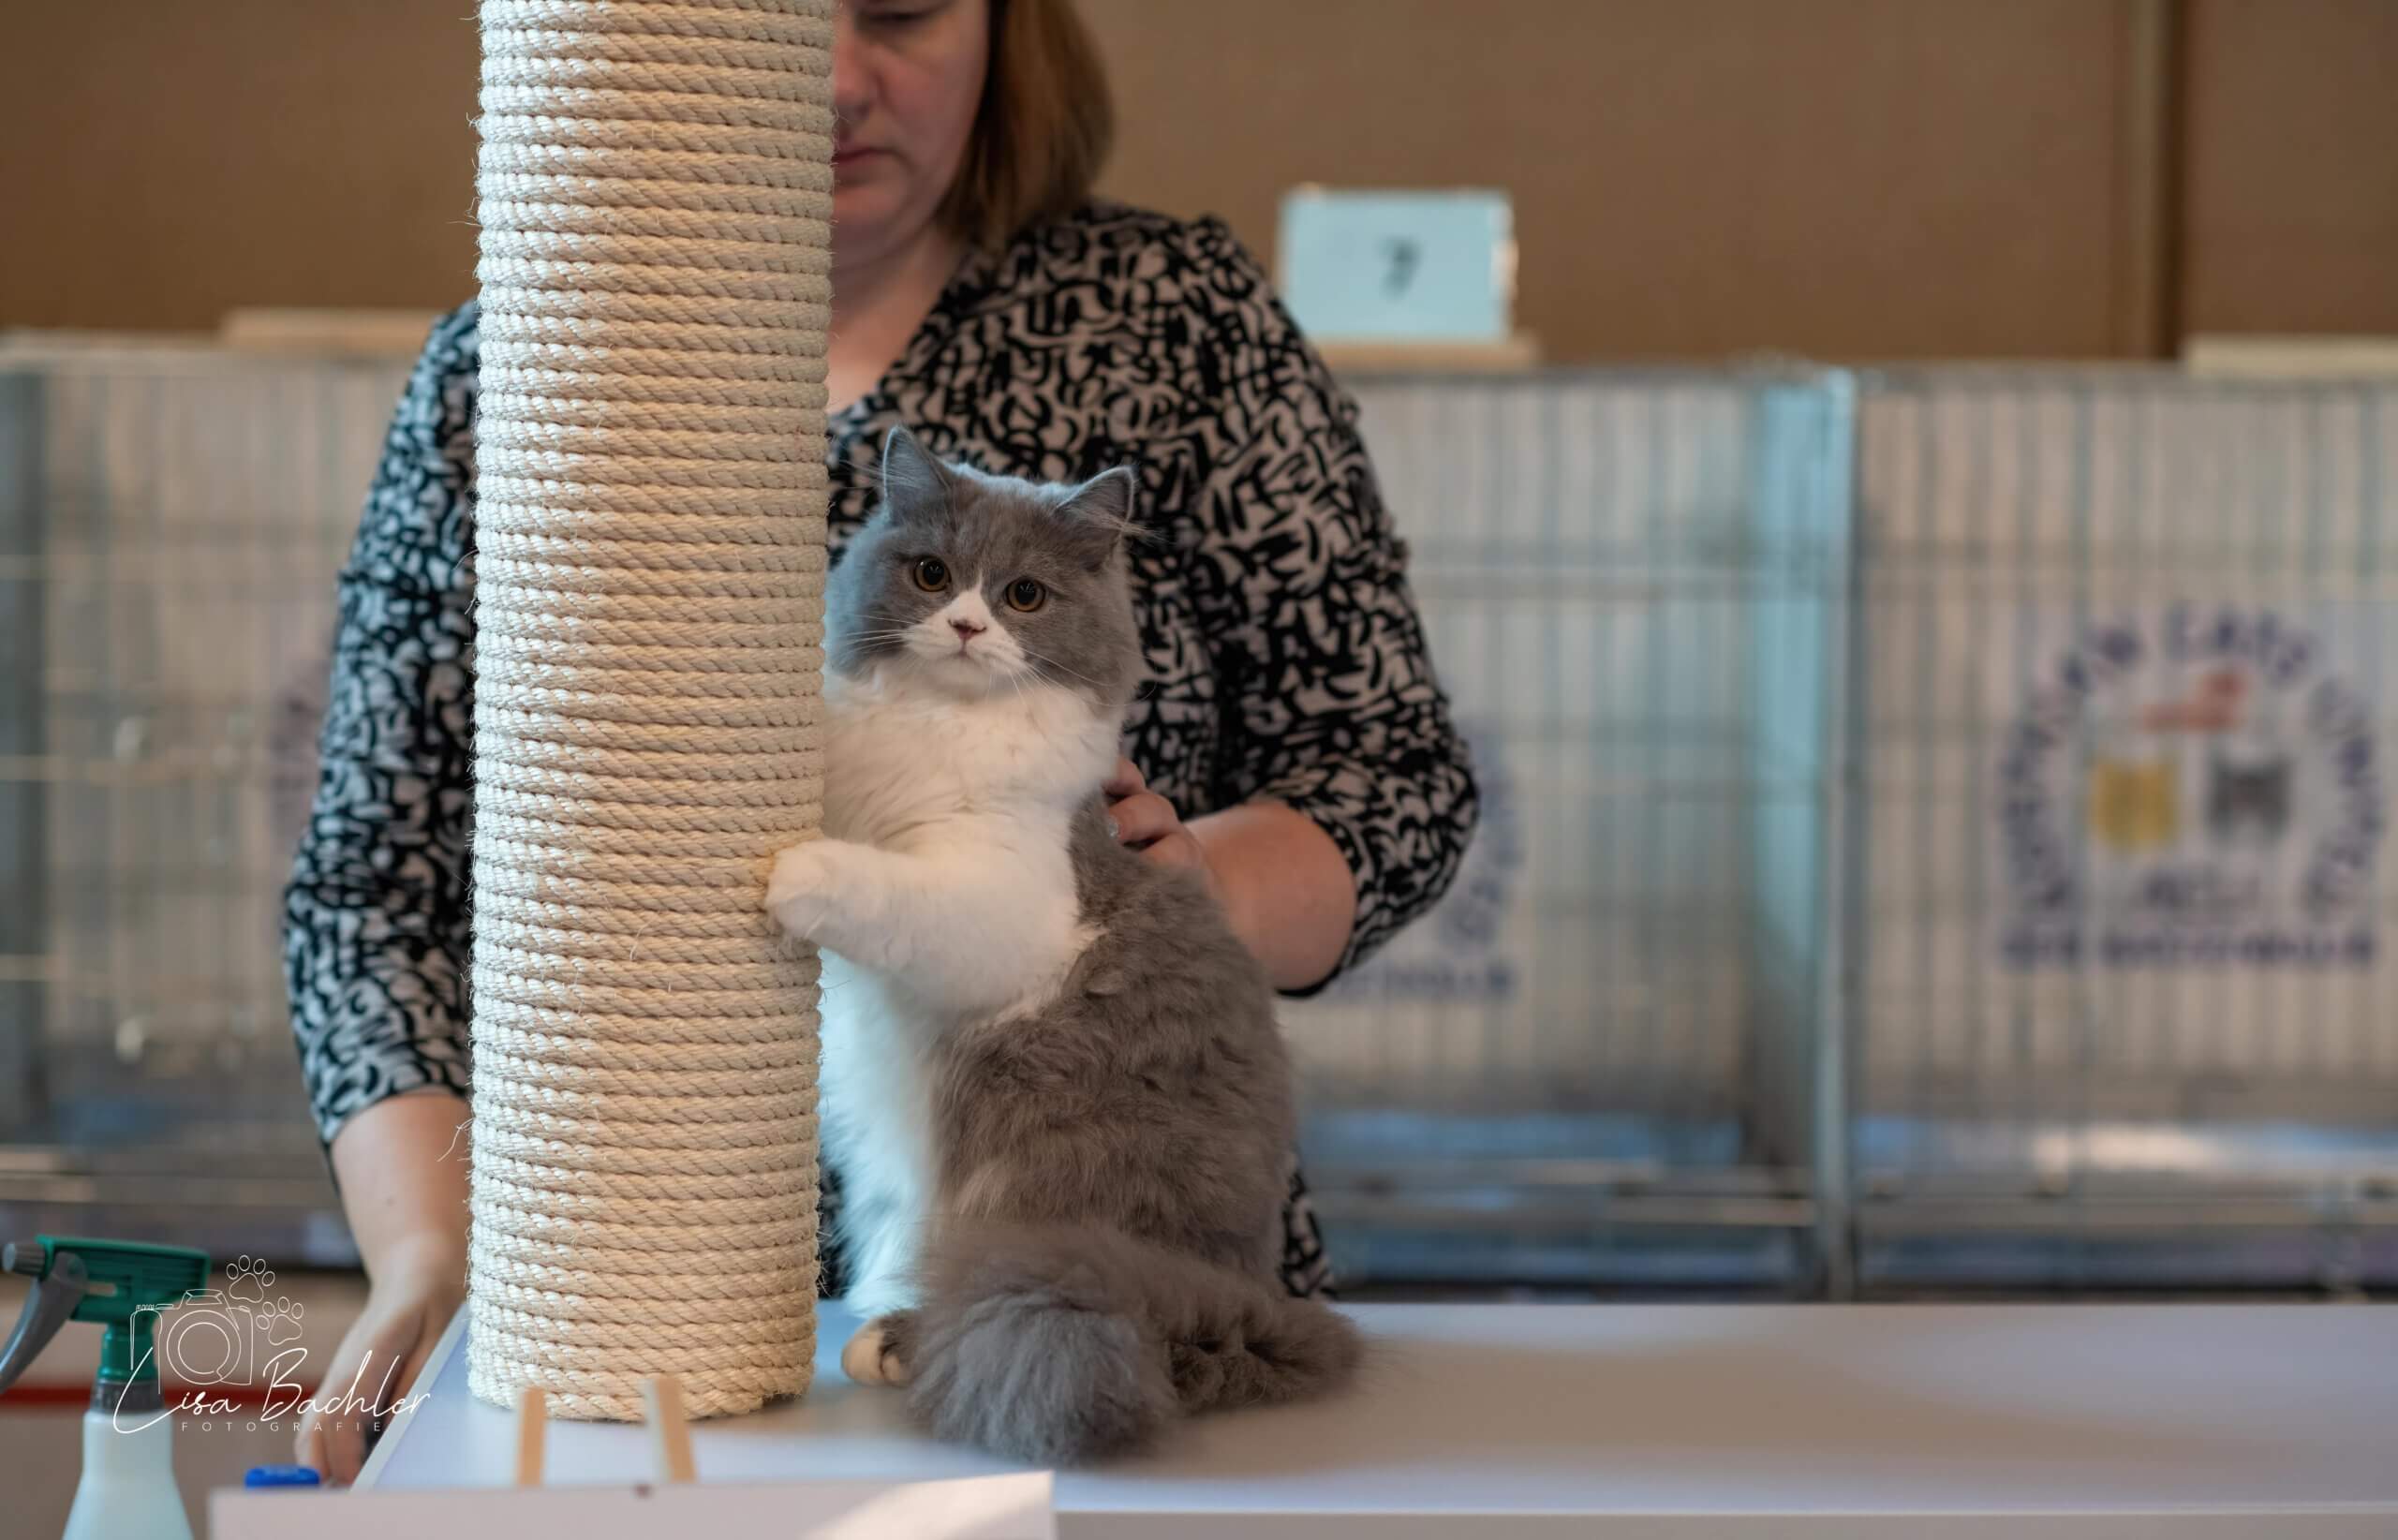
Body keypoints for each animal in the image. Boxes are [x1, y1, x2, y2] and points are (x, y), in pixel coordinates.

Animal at [765, 426, 1361, 1465]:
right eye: (932, 574)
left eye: (1024, 596)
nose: (967, 627)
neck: (940, 727)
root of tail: (1244, 1299)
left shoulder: (1006, 902)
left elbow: (879, 885)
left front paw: (792, 872)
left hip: (1028, 1184)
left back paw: (894, 1342)